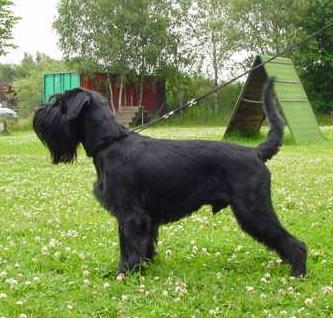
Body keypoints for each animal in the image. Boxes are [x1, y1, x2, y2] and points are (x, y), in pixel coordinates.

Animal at [33, 79, 306, 276]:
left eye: (59, 103)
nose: (38, 113)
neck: (109, 142)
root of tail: (255, 152)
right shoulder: (144, 218)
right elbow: (144, 244)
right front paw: (144, 266)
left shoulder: (130, 214)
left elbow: (128, 246)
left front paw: (124, 273)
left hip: (253, 208)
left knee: (294, 242)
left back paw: (298, 271)